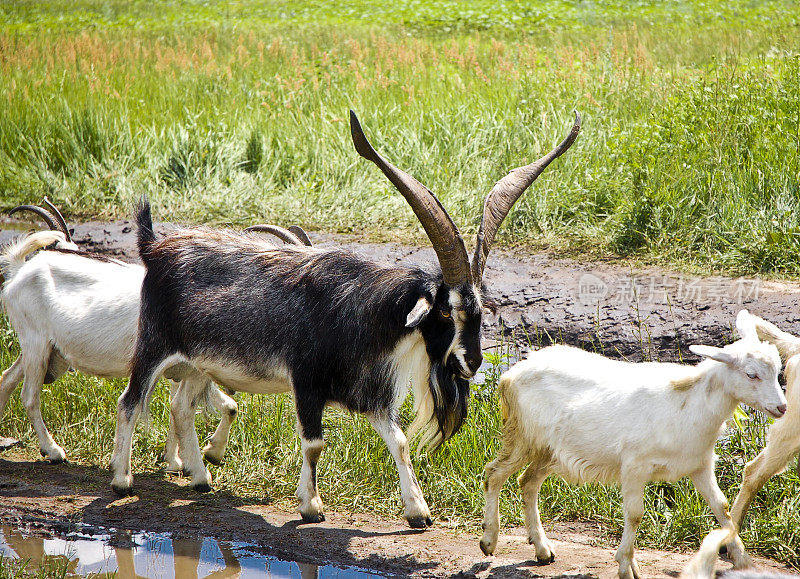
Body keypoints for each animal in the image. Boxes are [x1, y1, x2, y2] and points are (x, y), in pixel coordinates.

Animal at [108, 110, 580, 532]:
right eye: (447, 310)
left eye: (481, 309)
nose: (472, 363)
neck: (360, 312)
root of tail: (155, 247)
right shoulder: (307, 382)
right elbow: (315, 442)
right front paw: (311, 507)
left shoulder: (369, 394)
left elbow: (399, 441)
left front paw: (418, 513)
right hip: (154, 345)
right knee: (130, 400)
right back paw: (121, 480)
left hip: (197, 363)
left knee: (181, 406)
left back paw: (201, 478)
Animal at [478, 310, 784, 579]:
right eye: (751, 374)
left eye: (778, 370)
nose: (782, 407)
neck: (688, 404)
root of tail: (511, 374)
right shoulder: (635, 465)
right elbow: (635, 514)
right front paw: (626, 565)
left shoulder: (700, 463)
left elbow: (722, 508)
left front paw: (743, 561)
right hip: (523, 434)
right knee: (494, 473)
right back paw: (489, 540)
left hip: (550, 449)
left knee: (527, 481)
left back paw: (542, 549)